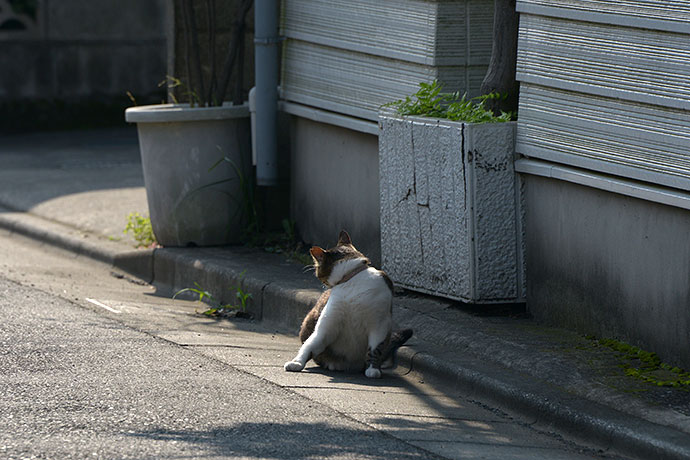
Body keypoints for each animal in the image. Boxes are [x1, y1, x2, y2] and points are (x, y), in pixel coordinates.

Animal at [282, 230, 412, 378]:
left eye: (317, 270)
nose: (318, 278)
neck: (352, 278)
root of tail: (351, 366)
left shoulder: (380, 324)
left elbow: (375, 349)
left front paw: (373, 369)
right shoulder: (328, 323)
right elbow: (310, 344)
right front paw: (297, 363)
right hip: (309, 320)